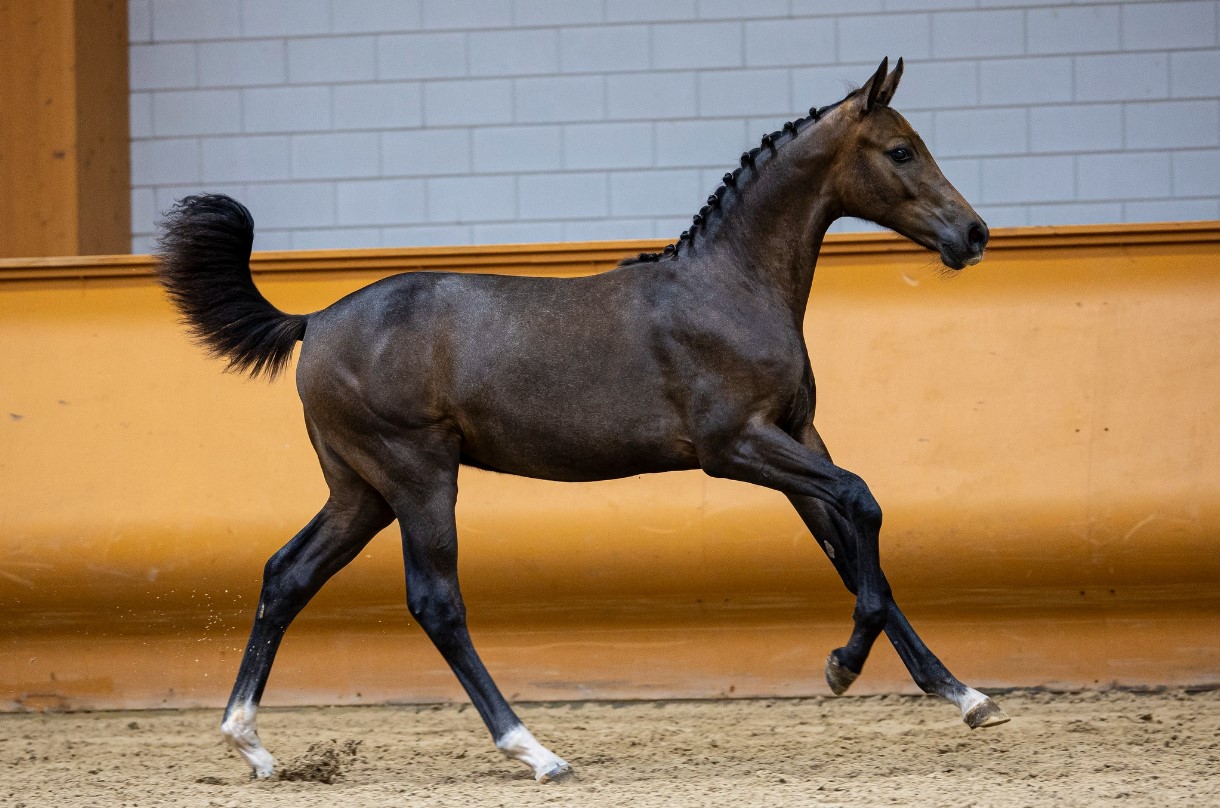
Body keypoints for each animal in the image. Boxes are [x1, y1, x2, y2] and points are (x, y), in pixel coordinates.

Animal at [156, 58, 1005, 783]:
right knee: (435, 601)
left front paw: (965, 695)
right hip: (417, 475)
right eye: (900, 150)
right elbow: (862, 501)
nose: (973, 235)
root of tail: (315, 322)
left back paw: (251, 745)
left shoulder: (796, 439)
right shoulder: (736, 446)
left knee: (287, 573)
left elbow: (852, 552)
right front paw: (843, 666)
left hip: (360, 490)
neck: (730, 288)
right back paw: (534, 750)